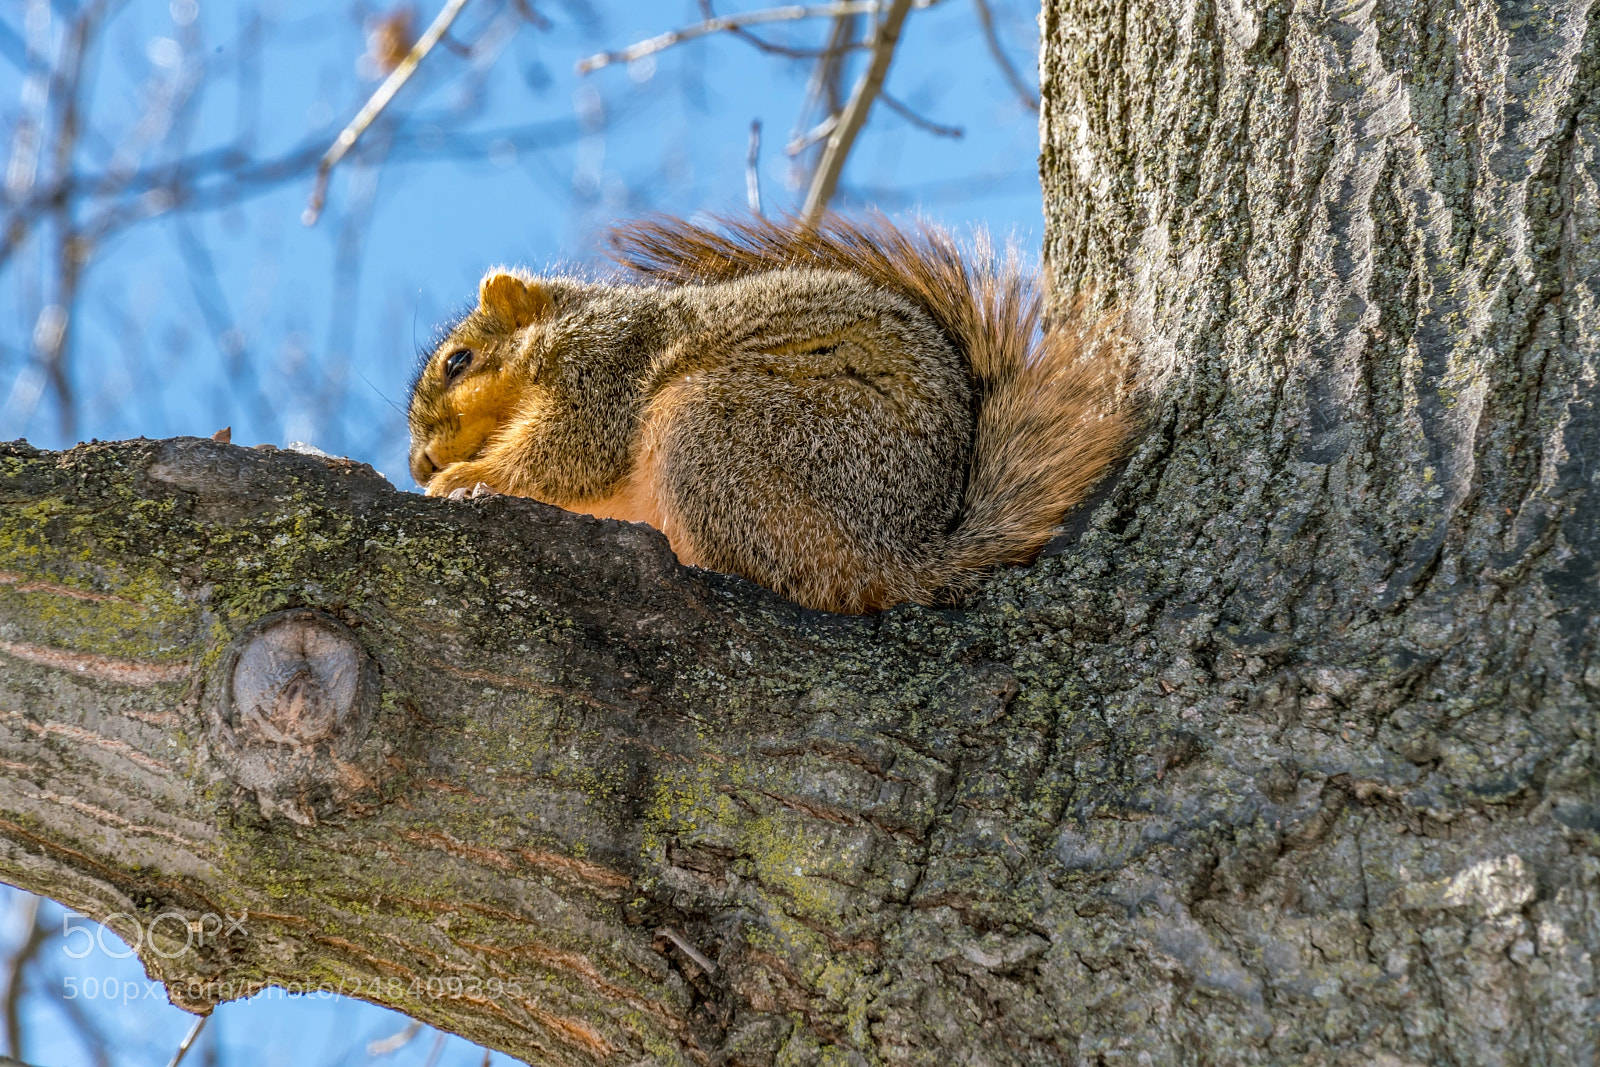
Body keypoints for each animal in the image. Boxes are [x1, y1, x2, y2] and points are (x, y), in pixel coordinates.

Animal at [407, 214, 1133, 615]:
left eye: (458, 362)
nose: (418, 463)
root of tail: (903, 553)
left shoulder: (603, 364)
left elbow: (566, 455)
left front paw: (464, 478)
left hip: (719, 431)